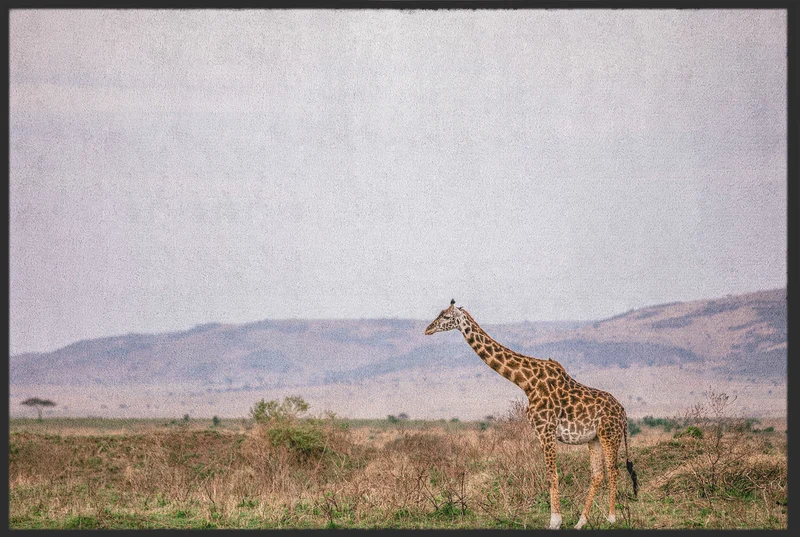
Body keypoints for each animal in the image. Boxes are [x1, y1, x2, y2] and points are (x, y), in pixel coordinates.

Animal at [425, 300, 638, 530]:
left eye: (446, 317)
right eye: (440, 314)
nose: (428, 329)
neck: (526, 381)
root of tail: (624, 413)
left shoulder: (546, 430)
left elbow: (552, 474)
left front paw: (554, 521)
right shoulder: (542, 432)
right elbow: (552, 474)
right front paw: (559, 520)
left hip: (609, 435)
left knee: (613, 470)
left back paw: (611, 518)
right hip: (595, 438)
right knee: (597, 474)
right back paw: (581, 522)